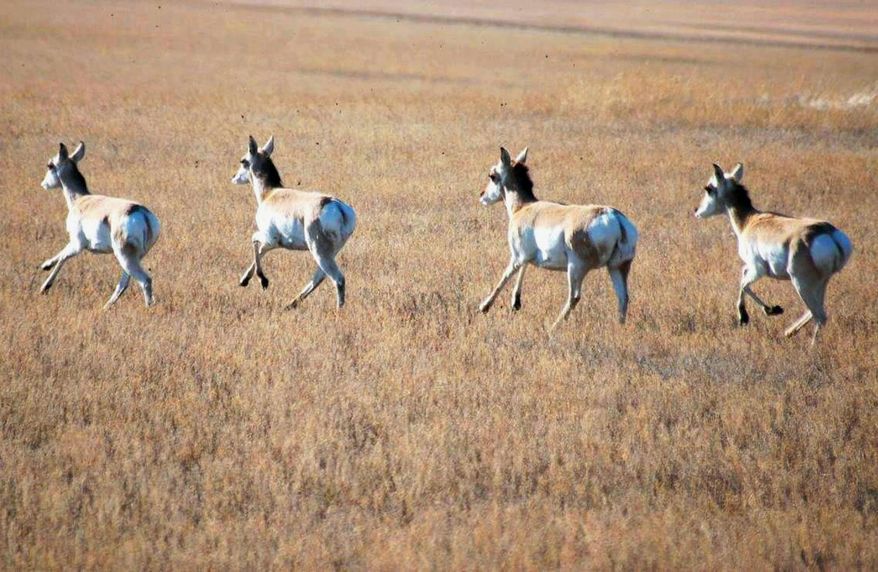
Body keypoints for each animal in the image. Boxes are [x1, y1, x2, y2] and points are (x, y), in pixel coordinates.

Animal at [38, 142, 161, 309]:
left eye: (50, 165)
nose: (43, 184)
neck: (81, 200)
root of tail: (141, 212)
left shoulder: (77, 245)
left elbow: (63, 257)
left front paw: (44, 285)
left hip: (125, 257)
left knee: (145, 280)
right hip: (132, 258)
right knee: (124, 283)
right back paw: (106, 307)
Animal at [232, 135, 357, 309]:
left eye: (243, 160)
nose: (234, 177)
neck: (270, 193)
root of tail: (336, 205)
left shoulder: (269, 238)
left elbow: (254, 240)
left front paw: (263, 281)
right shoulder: (273, 244)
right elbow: (261, 250)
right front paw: (244, 280)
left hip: (318, 251)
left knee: (337, 279)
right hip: (329, 252)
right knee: (318, 277)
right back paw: (290, 304)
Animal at [479, 147, 639, 330]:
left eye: (492, 175)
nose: (482, 195)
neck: (525, 207)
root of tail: (615, 218)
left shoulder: (517, 257)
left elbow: (505, 276)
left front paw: (484, 307)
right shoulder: (526, 257)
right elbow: (524, 268)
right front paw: (515, 303)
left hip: (576, 268)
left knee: (574, 297)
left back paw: (552, 328)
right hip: (617, 267)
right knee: (623, 297)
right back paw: (620, 327)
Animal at [694, 163, 853, 345]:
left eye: (708, 188)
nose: (696, 210)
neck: (750, 221)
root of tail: (829, 233)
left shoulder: (758, 270)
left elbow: (744, 284)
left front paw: (762, 312)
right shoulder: (750, 266)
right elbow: (742, 275)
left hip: (800, 282)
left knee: (819, 315)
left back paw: (811, 346)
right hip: (821, 282)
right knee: (813, 311)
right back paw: (789, 332)